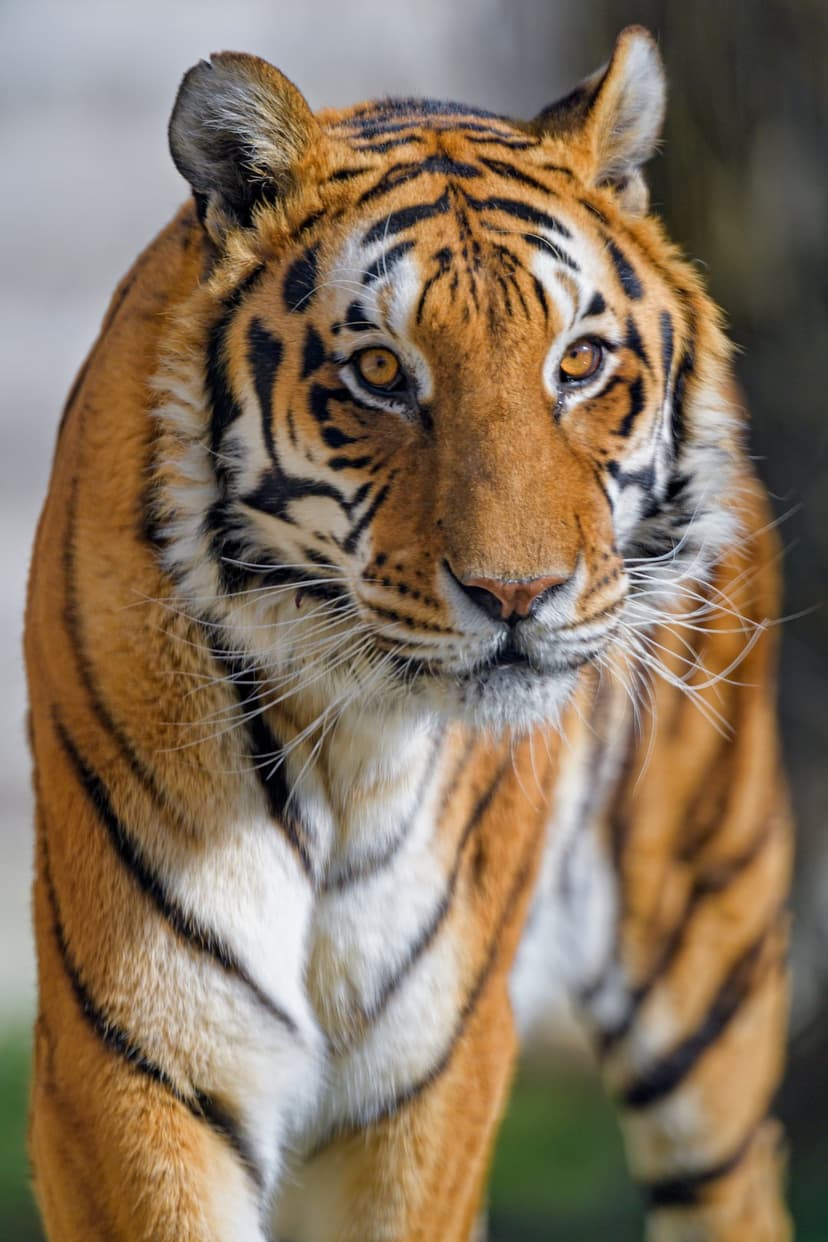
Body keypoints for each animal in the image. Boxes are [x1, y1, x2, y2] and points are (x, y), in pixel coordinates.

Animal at [24, 24, 792, 1242]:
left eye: (579, 363)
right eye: (380, 372)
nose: (520, 594)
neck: (347, 750)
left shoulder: (425, 1090)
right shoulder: (139, 1074)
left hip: (707, 952)